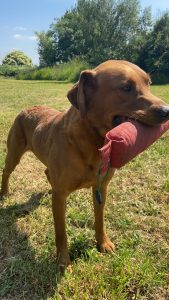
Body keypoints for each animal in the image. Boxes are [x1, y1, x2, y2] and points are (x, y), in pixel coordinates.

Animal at [0, 61, 169, 270]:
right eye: (126, 87)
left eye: (149, 84)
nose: (167, 111)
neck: (92, 141)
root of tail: (27, 108)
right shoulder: (60, 196)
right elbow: (61, 233)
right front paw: (63, 262)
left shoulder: (101, 187)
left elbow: (99, 220)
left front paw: (103, 243)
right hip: (14, 153)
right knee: (6, 171)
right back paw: (4, 192)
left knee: (47, 172)